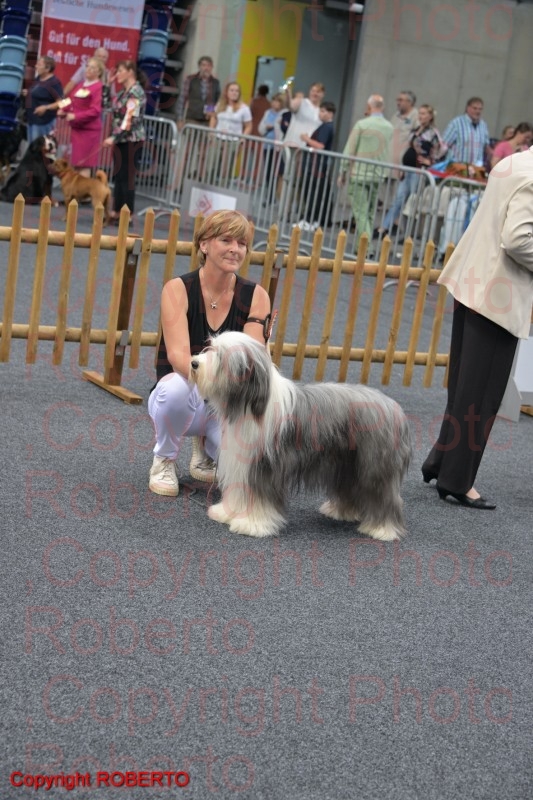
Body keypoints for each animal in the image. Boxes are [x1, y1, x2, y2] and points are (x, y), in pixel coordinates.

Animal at [190, 331, 412, 541]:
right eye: (210, 347)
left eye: (220, 356)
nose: (193, 363)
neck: (249, 405)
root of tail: (395, 409)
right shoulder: (242, 463)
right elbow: (239, 491)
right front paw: (227, 513)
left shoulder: (264, 466)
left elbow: (260, 498)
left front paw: (253, 524)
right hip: (348, 462)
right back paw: (341, 512)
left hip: (374, 467)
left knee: (384, 496)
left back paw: (382, 529)